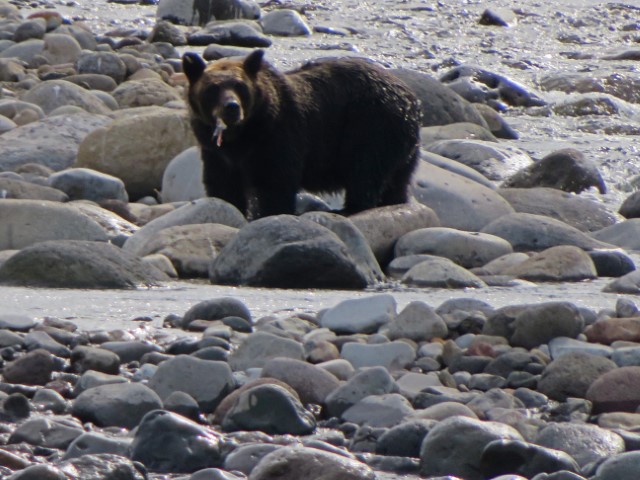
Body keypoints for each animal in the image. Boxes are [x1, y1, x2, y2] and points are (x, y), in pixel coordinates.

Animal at [181, 49, 420, 219]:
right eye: (213, 88)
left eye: (240, 86)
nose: (231, 107)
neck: (242, 136)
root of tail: (410, 99)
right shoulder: (216, 153)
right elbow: (223, 186)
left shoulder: (278, 136)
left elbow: (275, 183)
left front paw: (269, 213)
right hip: (401, 146)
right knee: (397, 182)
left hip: (371, 125)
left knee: (364, 170)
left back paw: (348, 209)